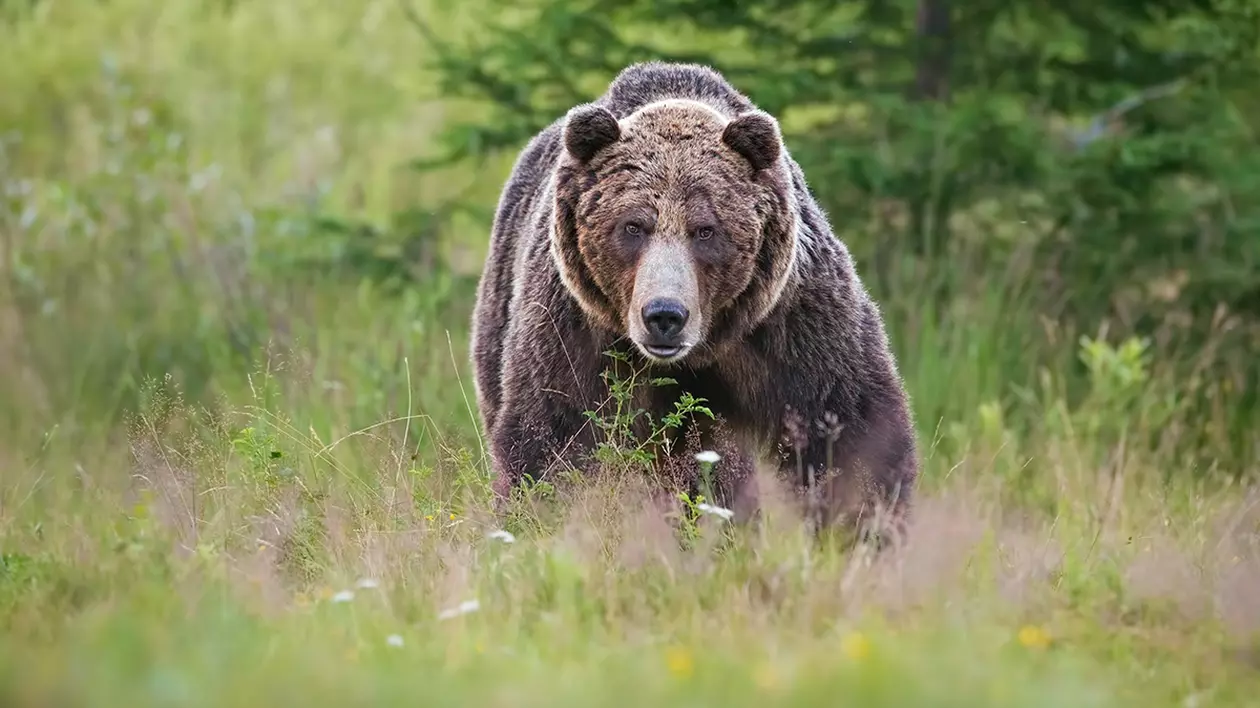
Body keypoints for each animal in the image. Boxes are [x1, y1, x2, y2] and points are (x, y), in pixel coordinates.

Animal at [468, 60, 922, 539]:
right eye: (633, 226)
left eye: (705, 229)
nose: (665, 315)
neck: (701, 348)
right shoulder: (575, 331)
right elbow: (554, 437)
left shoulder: (793, 323)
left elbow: (847, 429)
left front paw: (862, 533)